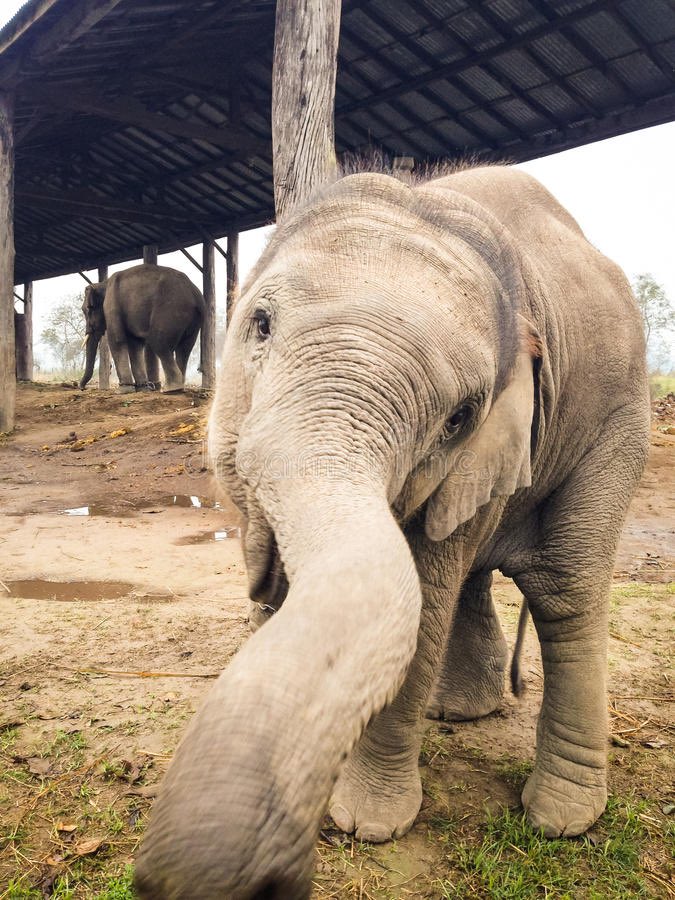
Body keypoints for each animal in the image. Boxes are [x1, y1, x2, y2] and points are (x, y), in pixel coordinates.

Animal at [79, 263, 205, 393]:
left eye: (87, 310)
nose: (82, 388)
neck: (103, 283)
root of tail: (195, 294)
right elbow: (135, 345)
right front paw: (144, 389)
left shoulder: (111, 306)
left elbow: (117, 340)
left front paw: (123, 390)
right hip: (194, 321)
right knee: (184, 349)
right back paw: (179, 387)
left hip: (170, 311)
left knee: (159, 343)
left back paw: (171, 389)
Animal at [135, 165, 650, 899]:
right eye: (260, 324)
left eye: (459, 417)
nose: (269, 869)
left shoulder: (479, 448)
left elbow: (422, 606)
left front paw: (364, 826)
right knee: (478, 573)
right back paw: (458, 715)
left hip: (618, 421)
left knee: (564, 591)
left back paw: (559, 820)